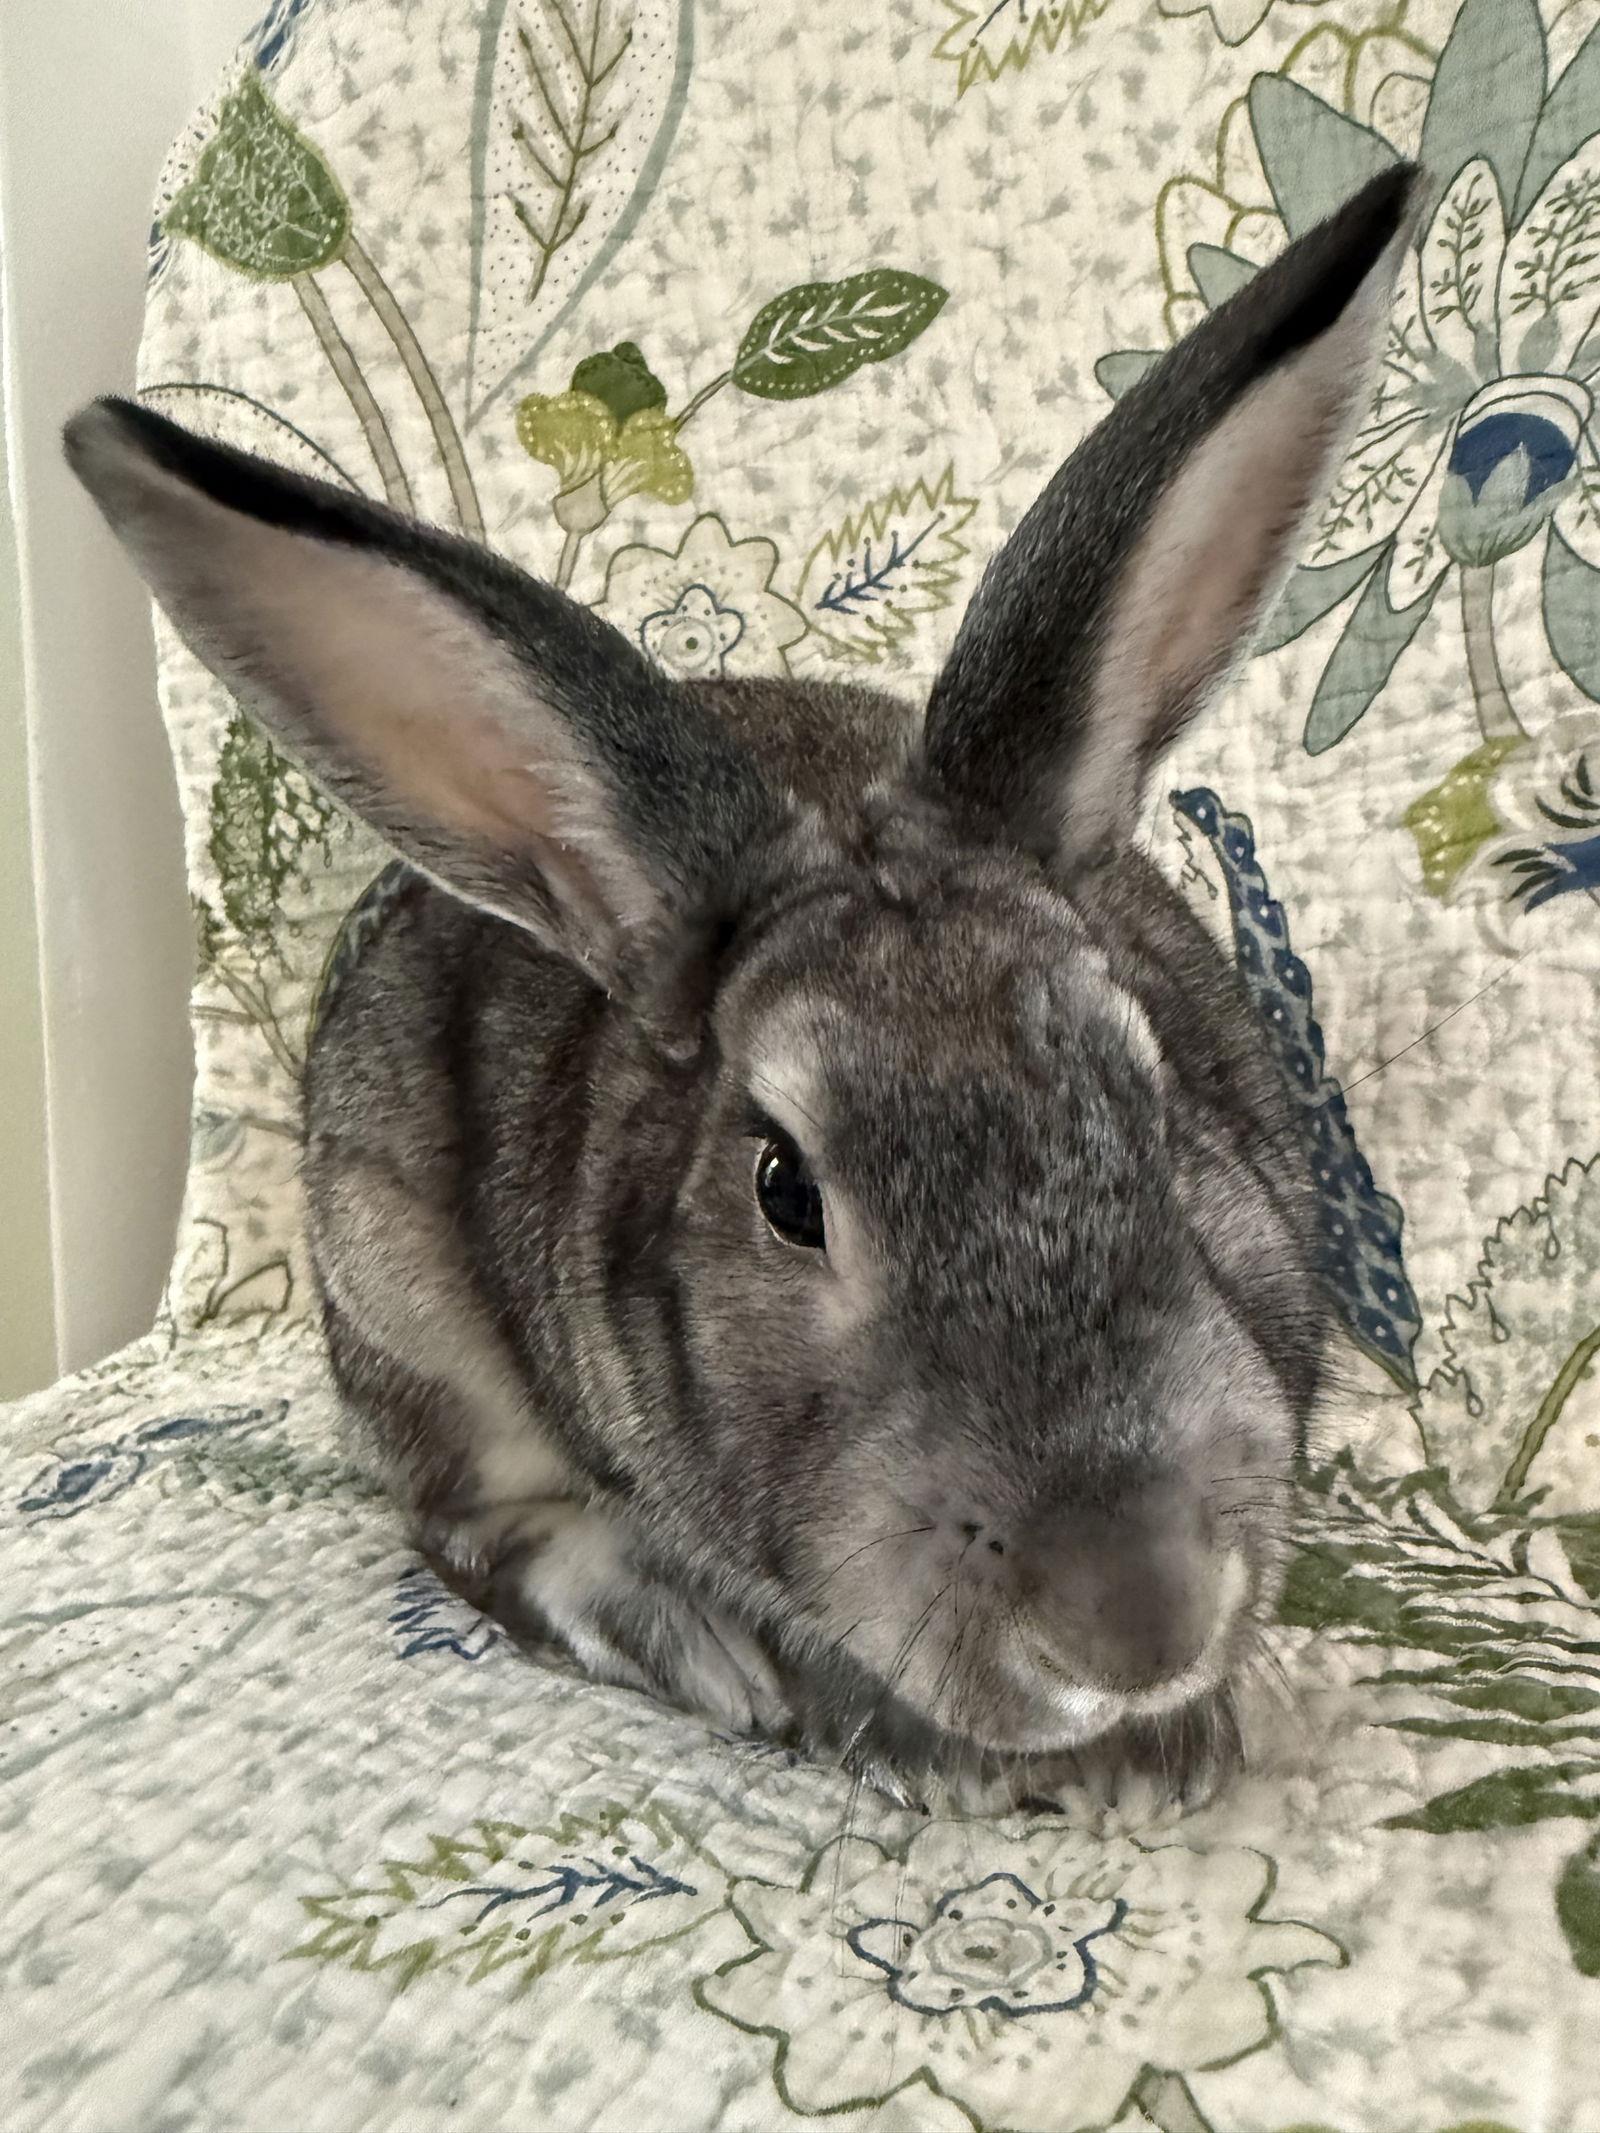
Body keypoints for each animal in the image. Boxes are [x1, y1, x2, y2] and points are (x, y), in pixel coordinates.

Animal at [65, 163, 1418, 1810]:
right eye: (785, 1193)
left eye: (1159, 1100)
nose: (1133, 1618)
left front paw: (1172, 1745)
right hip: (396, 1290)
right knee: (469, 1524)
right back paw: (691, 1638)